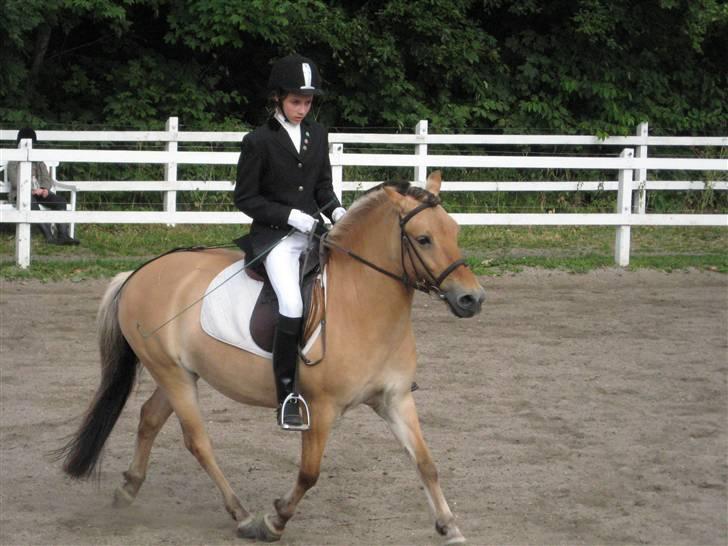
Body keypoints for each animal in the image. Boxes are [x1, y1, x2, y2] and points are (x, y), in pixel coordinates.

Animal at [57, 171, 485, 545]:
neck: (362, 300)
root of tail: (139, 272)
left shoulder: (395, 399)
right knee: (198, 441)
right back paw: (243, 515)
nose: (472, 299)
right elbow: (309, 473)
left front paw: (449, 526)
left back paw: (128, 489)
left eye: (455, 232)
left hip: (180, 373)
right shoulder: (320, 408)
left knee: (149, 418)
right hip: (172, 375)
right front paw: (274, 520)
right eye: (424, 238)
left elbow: (426, 463)